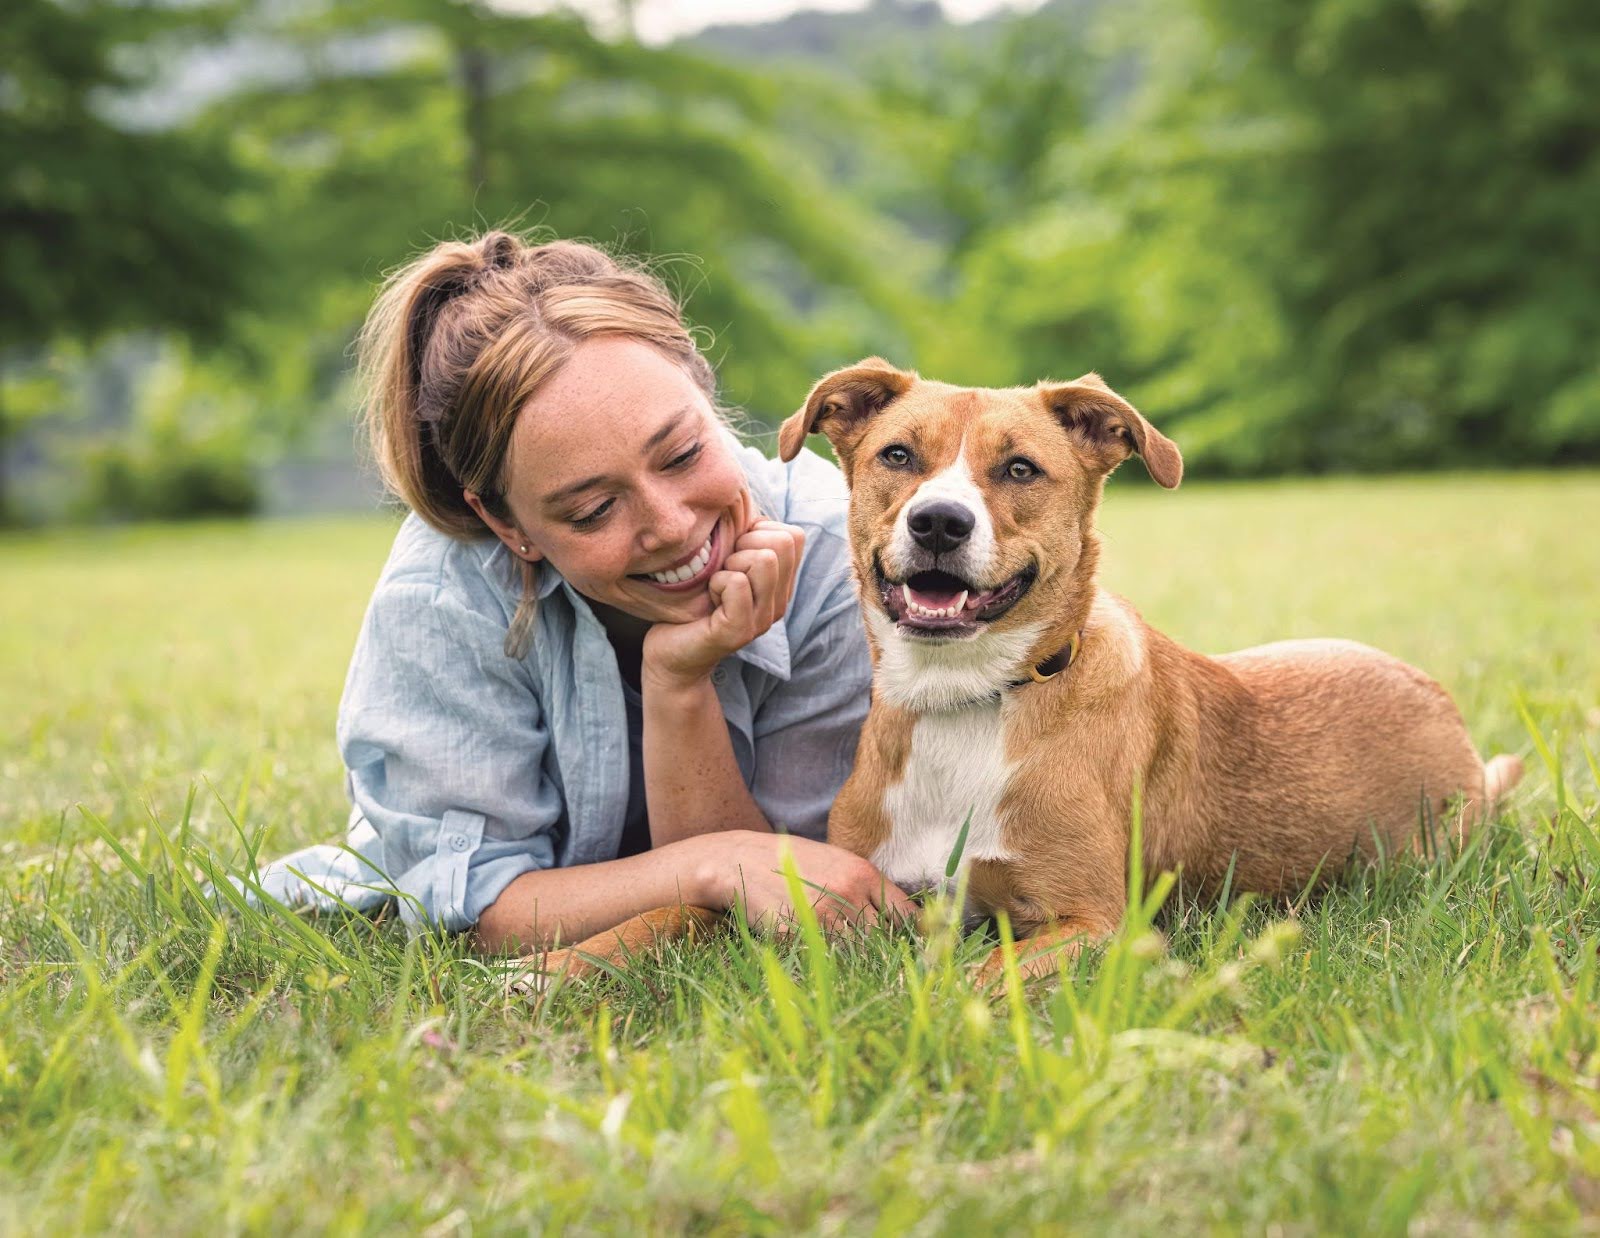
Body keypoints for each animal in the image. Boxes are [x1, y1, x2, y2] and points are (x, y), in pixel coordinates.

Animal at [537, 358, 1523, 991]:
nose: (938, 523)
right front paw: (550, 966)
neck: (964, 700)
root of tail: (1445, 710)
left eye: (1019, 468)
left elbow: (973, 969)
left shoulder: (1092, 923)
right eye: (899, 456)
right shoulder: (844, 880)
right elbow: (689, 910)